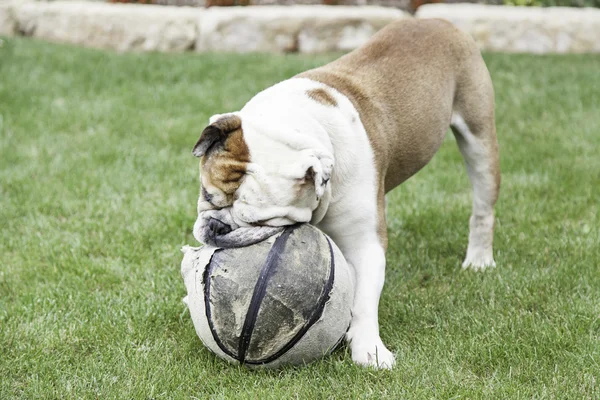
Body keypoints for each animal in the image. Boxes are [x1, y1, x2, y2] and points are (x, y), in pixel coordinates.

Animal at [190, 18, 500, 368]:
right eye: (207, 195)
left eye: (261, 223)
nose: (218, 227)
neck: (296, 124)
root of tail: (438, 21)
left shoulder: (365, 243)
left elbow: (364, 299)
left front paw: (370, 350)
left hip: (479, 139)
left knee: (483, 207)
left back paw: (478, 260)